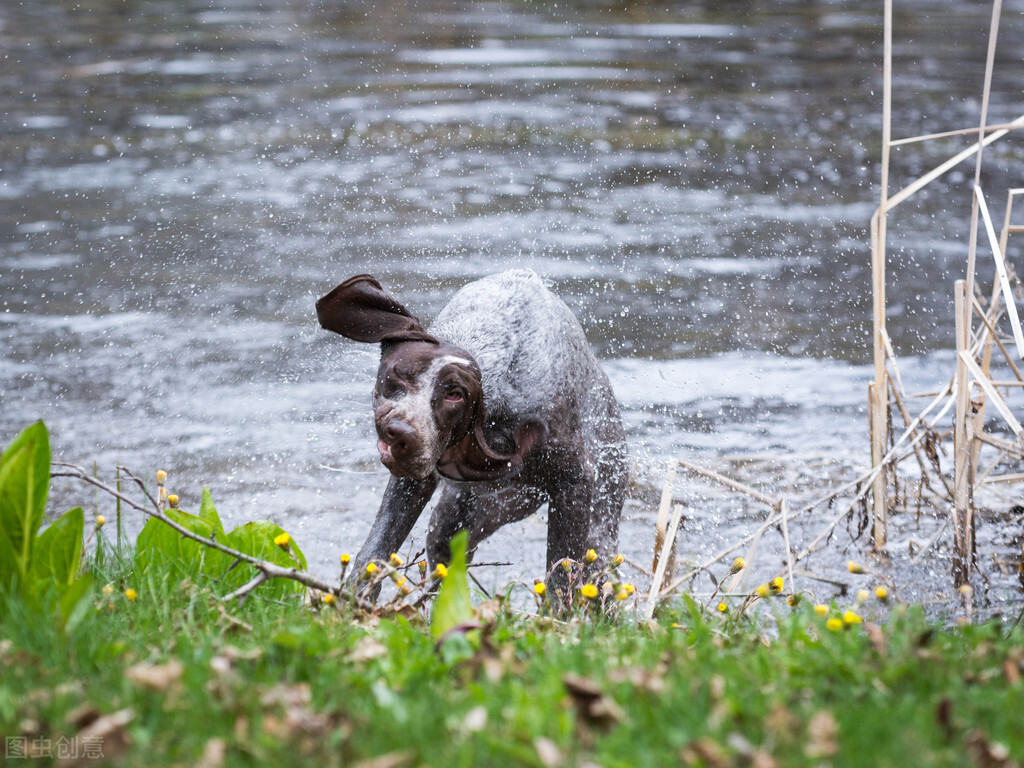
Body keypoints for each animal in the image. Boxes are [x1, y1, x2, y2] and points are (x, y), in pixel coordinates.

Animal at [315, 270, 626, 589]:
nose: (400, 433)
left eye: (456, 395)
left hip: (596, 522)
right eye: (398, 373)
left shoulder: (574, 482)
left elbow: (561, 576)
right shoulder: (412, 482)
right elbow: (375, 551)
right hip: (455, 520)